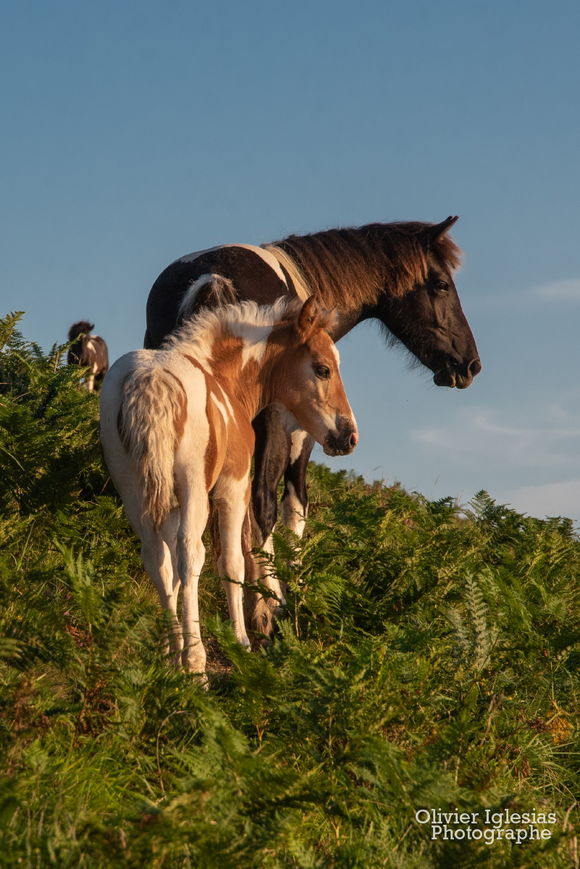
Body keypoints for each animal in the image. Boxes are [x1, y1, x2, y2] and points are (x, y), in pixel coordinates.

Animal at [98, 298, 358, 680]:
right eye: (323, 369)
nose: (349, 436)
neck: (224, 379)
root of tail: (151, 379)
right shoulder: (233, 488)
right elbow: (233, 562)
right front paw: (241, 642)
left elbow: (171, 574)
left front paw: (171, 649)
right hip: (193, 486)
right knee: (191, 555)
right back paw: (196, 664)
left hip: (132, 487)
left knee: (157, 559)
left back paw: (172, 656)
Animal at [144, 217, 480, 632]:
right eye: (442, 284)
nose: (470, 364)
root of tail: (211, 276)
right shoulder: (302, 433)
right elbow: (294, 506)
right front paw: (291, 594)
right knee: (262, 502)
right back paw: (266, 609)